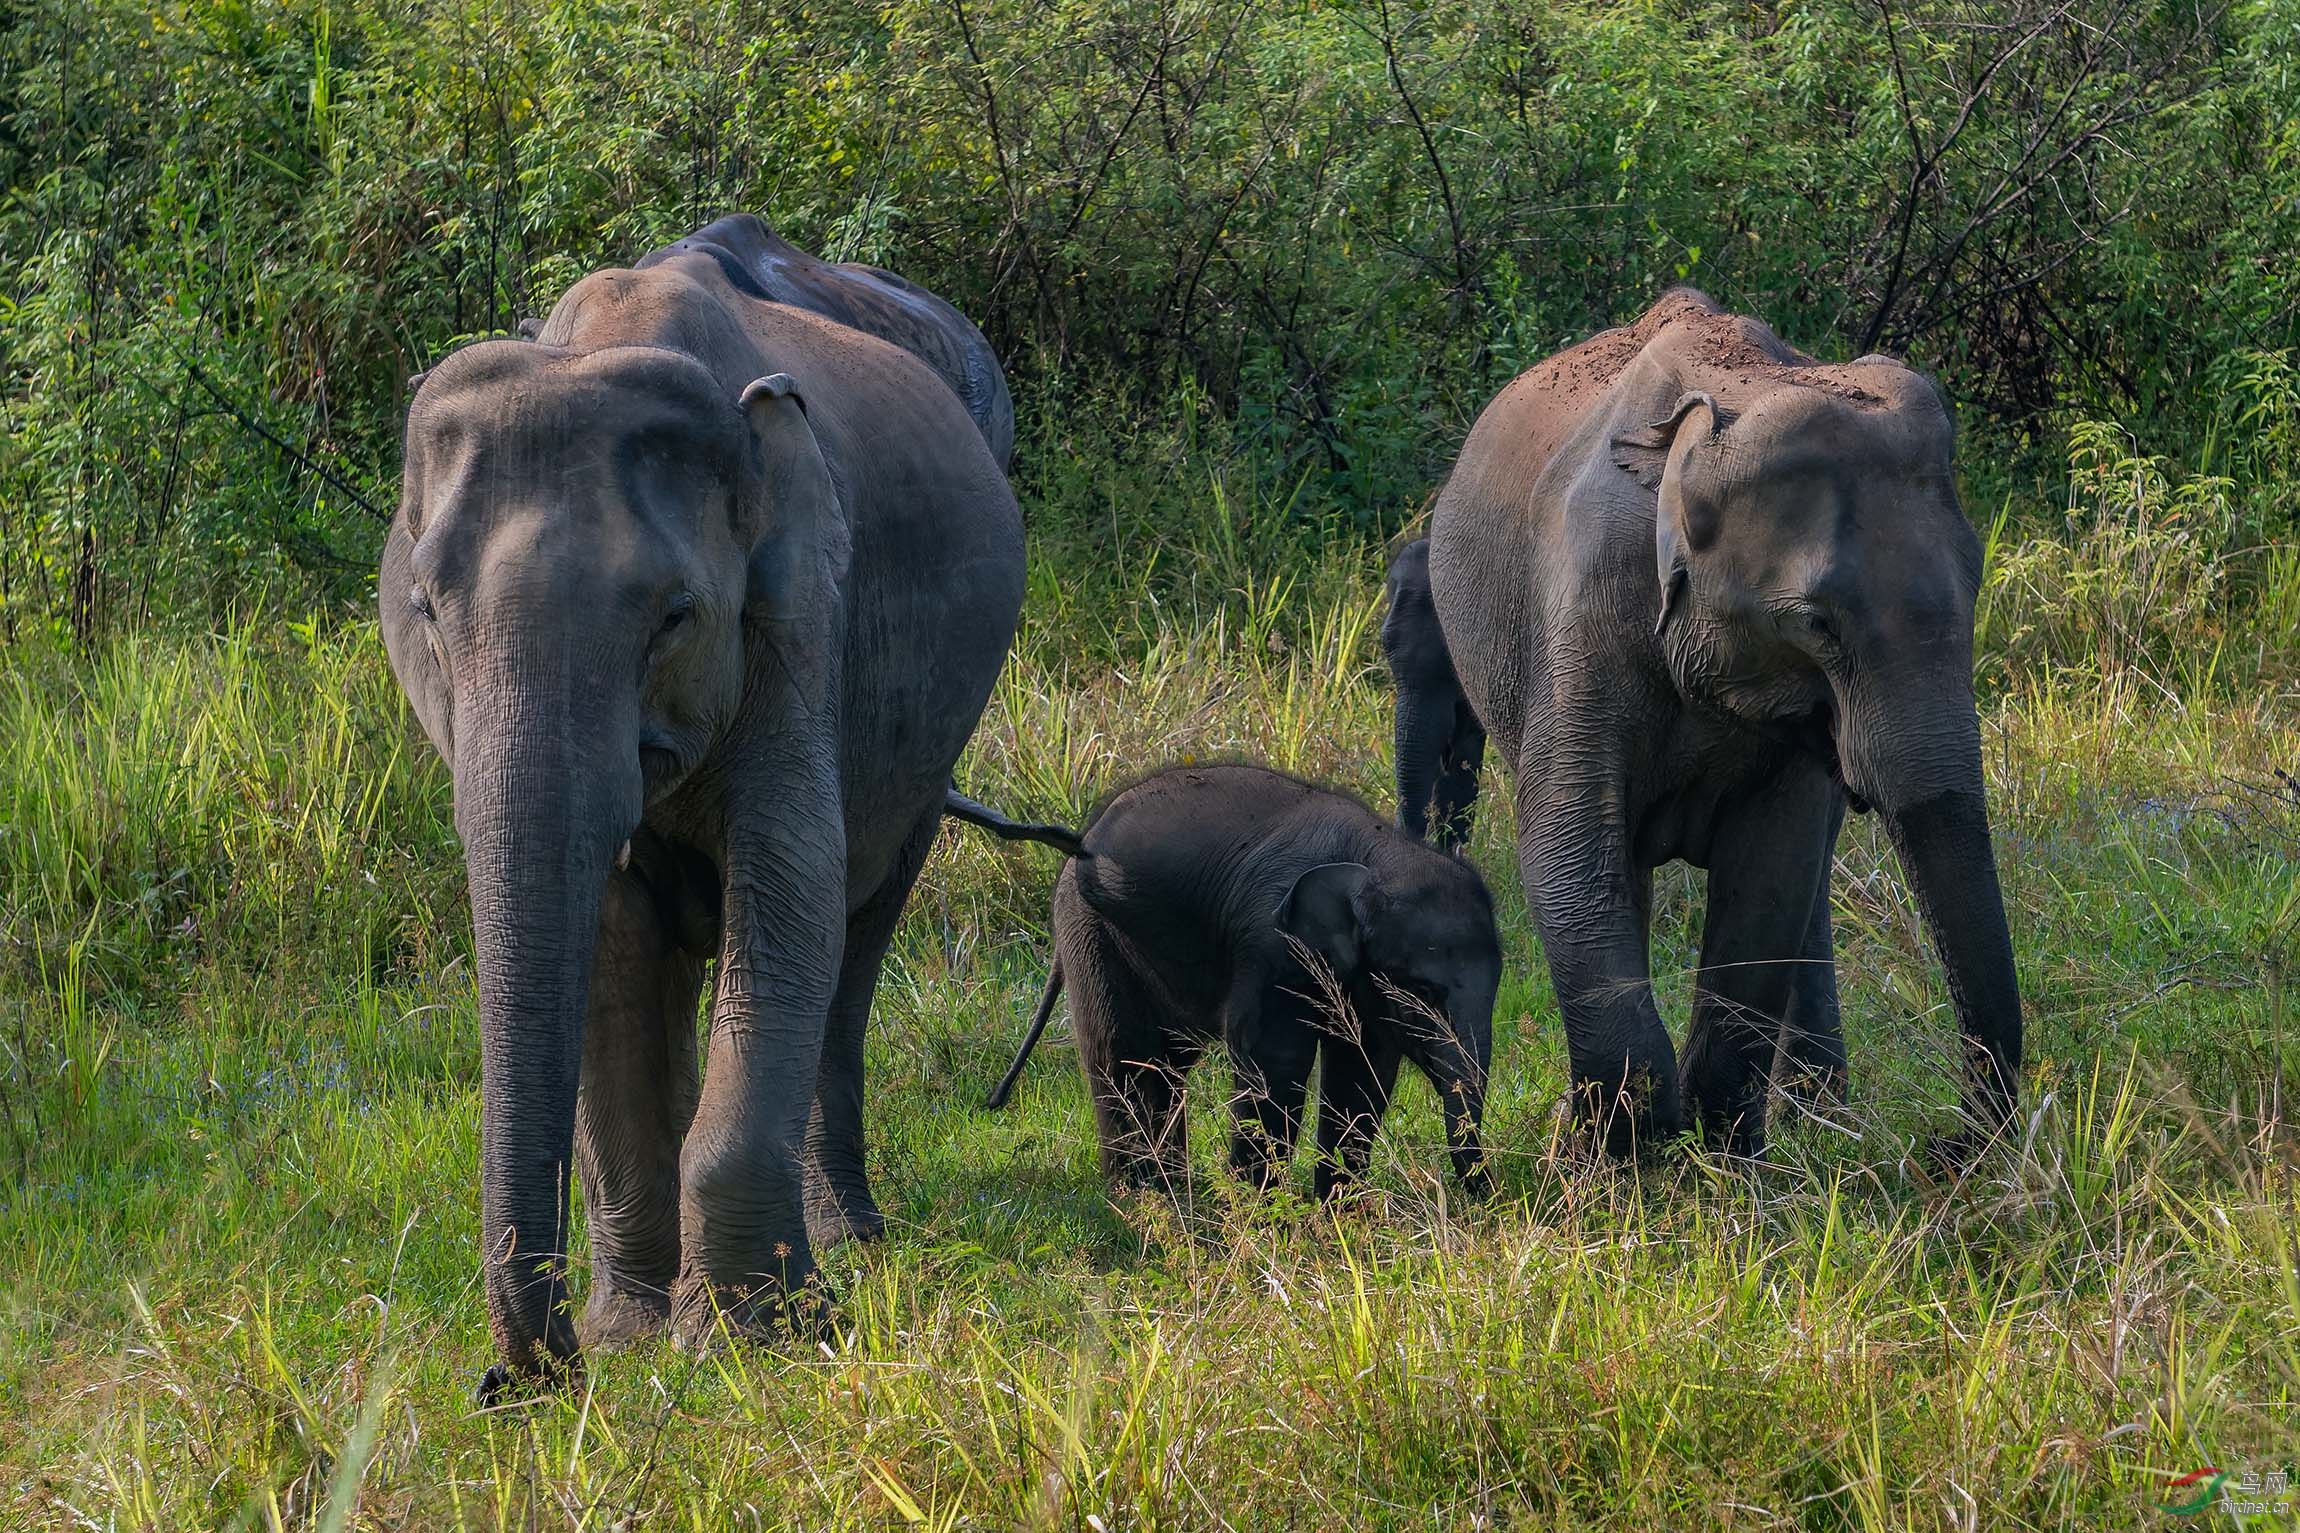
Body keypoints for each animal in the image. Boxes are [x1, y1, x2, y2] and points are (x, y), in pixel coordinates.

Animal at [384, 210, 1025, 1397]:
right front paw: (633, 1334)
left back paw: (850, 1239)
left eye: (674, 616)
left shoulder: (799, 620)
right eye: (428, 613)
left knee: (860, 924)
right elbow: (610, 937)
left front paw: (750, 1336)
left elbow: (788, 886)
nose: (522, 1379)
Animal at [979, 767, 1499, 1195]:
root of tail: (1080, 840)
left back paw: (1173, 1195)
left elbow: (1363, 1068)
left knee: (1164, 1065)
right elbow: (1275, 1059)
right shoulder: (1271, 945)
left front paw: (1338, 1212)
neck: (1380, 855)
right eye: (1423, 992)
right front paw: (1262, 1210)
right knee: (1125, 1056)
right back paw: (1145, 1201)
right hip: (1091, 929)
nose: (1487, 1197)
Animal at [1426, 290, 2024, 1162]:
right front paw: (1628, 1153)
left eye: (1977, 583)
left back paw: (1815, 1115)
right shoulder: (1581, 610)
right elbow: (1567, 838)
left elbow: (1771, 869)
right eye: (1815, 623)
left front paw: (1718, 1153)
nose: (1953, 1146)